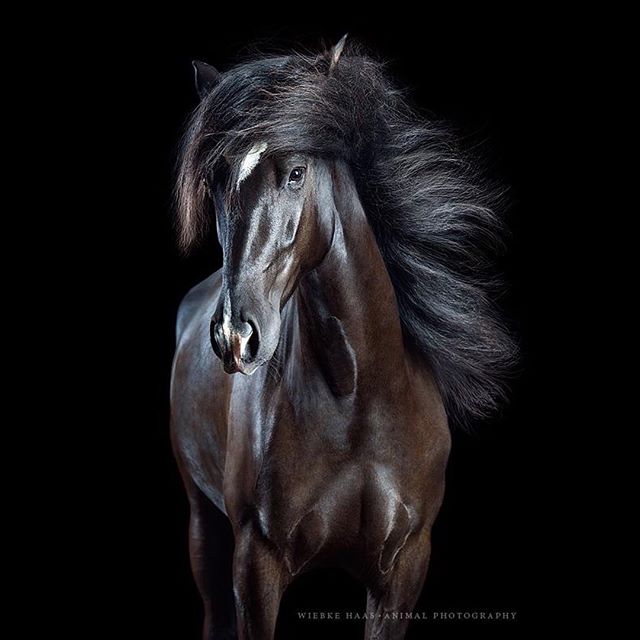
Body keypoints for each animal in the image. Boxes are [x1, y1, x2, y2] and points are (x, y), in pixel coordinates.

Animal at [170, 37, 515, 640]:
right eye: (215, 179)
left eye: (295, 172)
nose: (236, 335)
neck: (357, 397)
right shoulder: (254, 566)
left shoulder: (403, 569)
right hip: (203, 526)